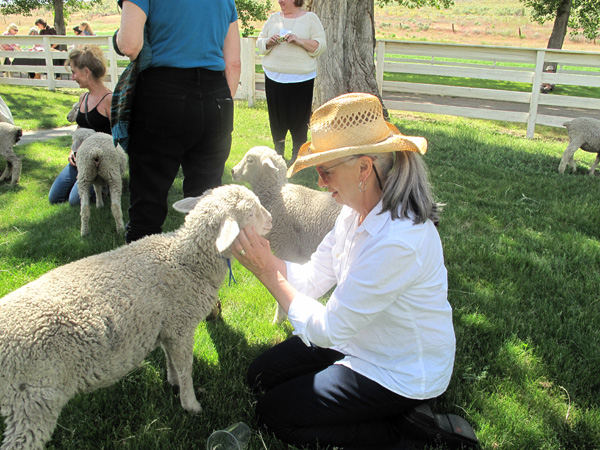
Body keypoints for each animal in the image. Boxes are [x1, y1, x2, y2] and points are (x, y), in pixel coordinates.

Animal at [0, 184, 272, 450]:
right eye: (252, 211)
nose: (270, 219)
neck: (185, 261)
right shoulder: (181, 324)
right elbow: (185, 366)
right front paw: (191, 404)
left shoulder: (167, 326)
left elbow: (170, 359)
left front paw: (172, 382)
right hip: (33, 397)